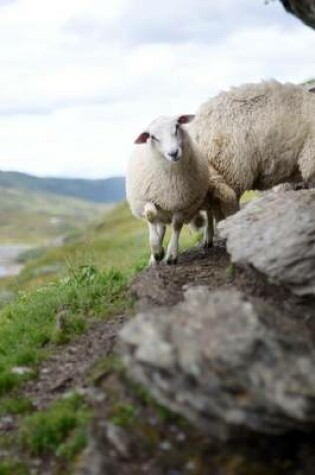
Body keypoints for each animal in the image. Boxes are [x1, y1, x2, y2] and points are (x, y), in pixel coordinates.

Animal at [126, 114, 215, 266]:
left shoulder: (182, 203)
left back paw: (208, 237)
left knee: (209, 212)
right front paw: (156, 250)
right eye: (152, 137)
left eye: (177, 126)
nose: (173, 153)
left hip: (204, 194)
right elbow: (150, 215)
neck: (170, 179)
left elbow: (176, 225)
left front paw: (171, 254)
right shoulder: (145, 198)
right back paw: (154, 257)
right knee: (160, 225)